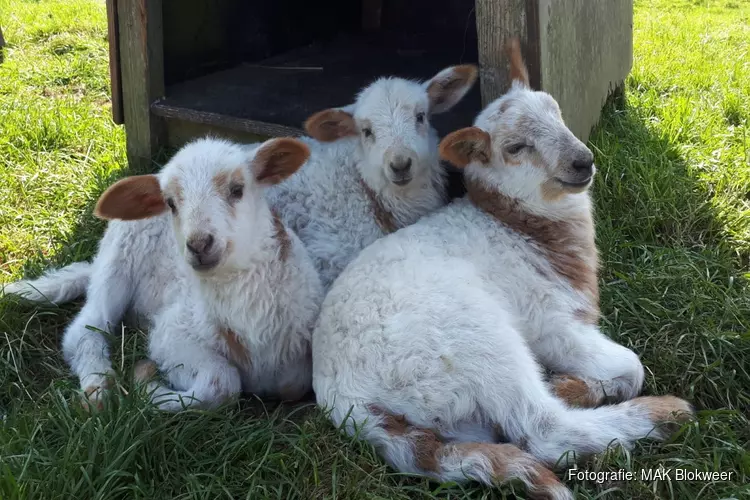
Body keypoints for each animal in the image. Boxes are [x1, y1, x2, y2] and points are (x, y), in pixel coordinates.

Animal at [8, 135, 324, 408]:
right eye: (171, 203)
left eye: (237, 189)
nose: (199, 244)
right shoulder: (171, 333)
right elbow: (222, 384)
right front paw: (146, 384)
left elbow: (292, 384)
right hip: (118, 260)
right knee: (85, 330)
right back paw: (98, 388)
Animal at [310, 40, 692, 500]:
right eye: (515, 148)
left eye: (557, 112)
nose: (582, 161)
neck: (518, 227)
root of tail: (345, 398)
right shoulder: (548, 319)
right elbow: (632, 366)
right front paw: (577, 385)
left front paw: (575, 385)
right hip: (468, 339)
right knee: (543, 430)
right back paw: (663, 415)